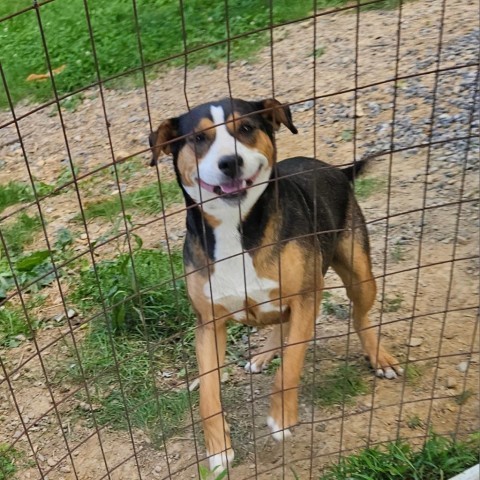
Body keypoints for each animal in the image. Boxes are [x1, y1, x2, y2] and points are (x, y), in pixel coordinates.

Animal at [148, 97, 404, 472]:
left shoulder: (306, 296)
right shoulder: (208, 323)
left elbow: (291, 365)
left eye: (246, 128)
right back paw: (264, 354)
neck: (236, 229)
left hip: (359, 273)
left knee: (360, 315)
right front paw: (218, 448)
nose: (230, 162)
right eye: (198, 138)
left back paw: (380, 358)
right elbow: (208, 393)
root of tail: (336, 169)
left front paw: (282, 418)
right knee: (281, 324)